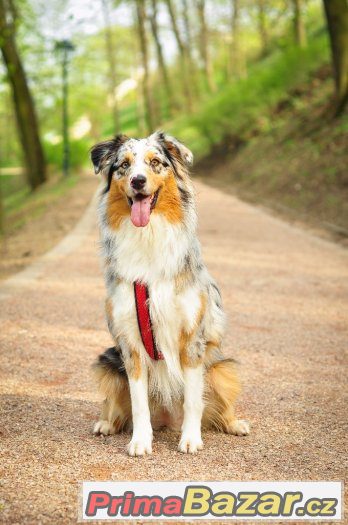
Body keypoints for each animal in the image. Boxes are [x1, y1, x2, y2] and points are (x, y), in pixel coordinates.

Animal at [89, 130, 247, 454]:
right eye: (124, 165)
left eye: (155, 163)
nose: (137, 181)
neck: (148, 237)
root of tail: (166, 421)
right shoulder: (130, 343)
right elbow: (138, 403)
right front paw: (140, 441)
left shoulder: (191, 338)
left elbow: (192, 400)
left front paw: (190, 439)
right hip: (108, 364)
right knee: (117, 405)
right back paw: (106, 423)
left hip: (221, 368)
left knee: (219, 404)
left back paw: (234, 424)